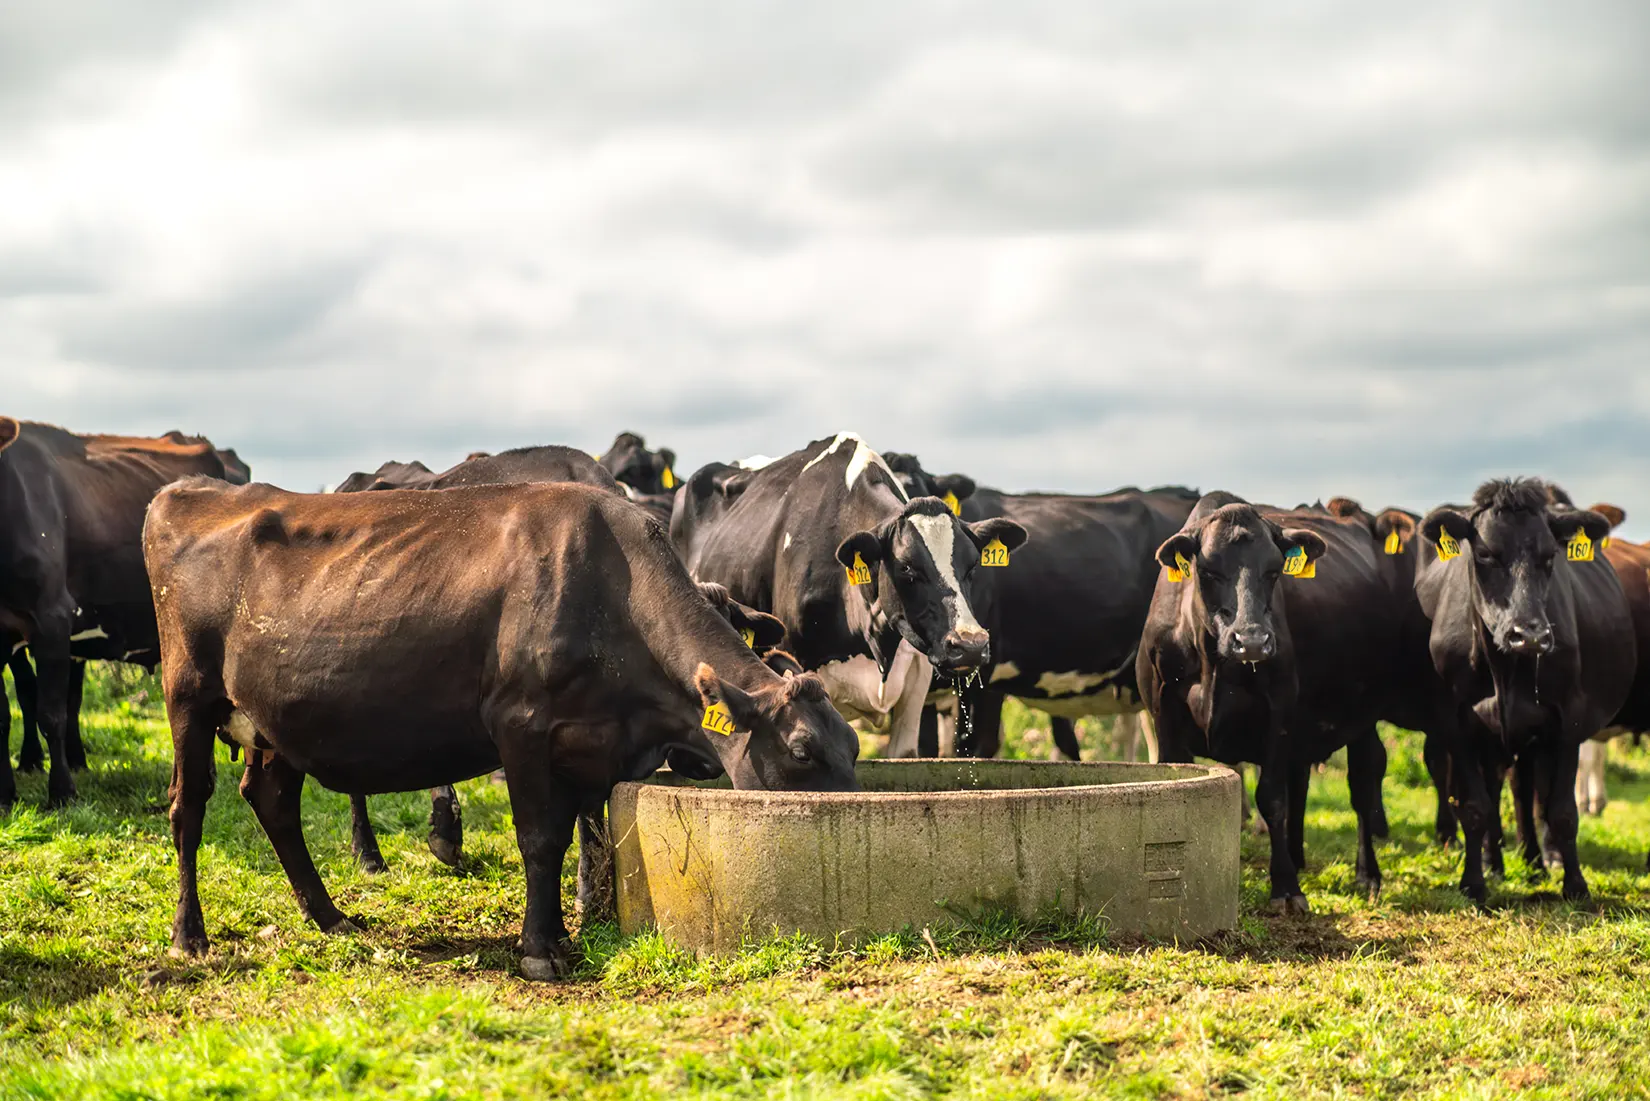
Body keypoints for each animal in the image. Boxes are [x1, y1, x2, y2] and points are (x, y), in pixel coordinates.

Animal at [144, 478, 859, 978]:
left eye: (852, 745)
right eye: (802, 750)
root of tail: (188, 492)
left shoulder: (589, 746)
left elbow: (578, 837)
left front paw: (565, 932)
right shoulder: (522, 726)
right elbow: (541, 839)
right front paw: (541, 949)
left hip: (277, 720)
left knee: (271, 800)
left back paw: (330, 917)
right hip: (188, 694)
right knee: (188, 806)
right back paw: (190, 936)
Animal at [1138, 493, 1404, 911]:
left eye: (1275, 570)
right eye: (1208, 570)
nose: (1252, 641)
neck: (1211, 660)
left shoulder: (1278, 715)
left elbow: (1272, 800)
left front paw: (1286, 888)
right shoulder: (1163, 717)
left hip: (1364, 713)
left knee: (1364, 783)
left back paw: (1367, 874)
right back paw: (1298, 856)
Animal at [1415, 479, 1634, 903]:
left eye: (1550, 556)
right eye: (1485, 553)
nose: (1529, 634)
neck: (1505, 670)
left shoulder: (1569, 721)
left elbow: (1562, 811)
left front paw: (1576, 886)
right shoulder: (1457, 723)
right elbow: (1476, 807)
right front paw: (1474, 883)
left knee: (1525, 789)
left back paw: (1534, 861)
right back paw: (1496, 863)